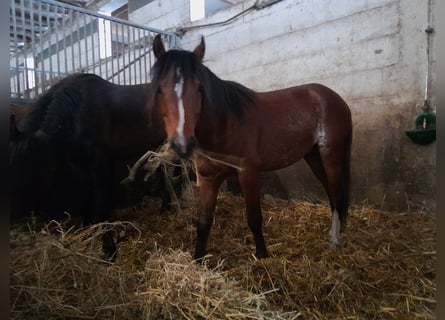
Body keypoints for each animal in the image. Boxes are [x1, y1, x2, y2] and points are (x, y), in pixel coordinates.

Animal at [151, 35, 352, 260]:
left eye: (200, 88)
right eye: (159, 90)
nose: (182, 143)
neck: (225, 125)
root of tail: (334, 97)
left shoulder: (248, 173)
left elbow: (254, 218)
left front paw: (262, 255)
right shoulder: (208, 178)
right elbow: (203, 222)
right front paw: (198, 259)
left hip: (331, 155)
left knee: (336, 192)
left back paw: (334, 240)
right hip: (314, 156)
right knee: (331, 192)